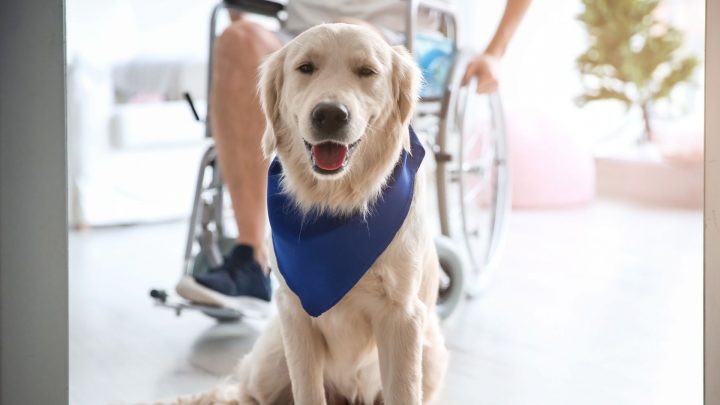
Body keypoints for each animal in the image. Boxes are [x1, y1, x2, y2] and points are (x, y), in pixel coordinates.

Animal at [165, 23, 444, 404]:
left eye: (367, 71)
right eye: (306, 68)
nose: (330, 114)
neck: (336, 204)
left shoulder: (402, 317)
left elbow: (403, 392)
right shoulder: (294, 314)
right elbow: (307, 391)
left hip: (431, 355)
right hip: (271, 360)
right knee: (241, 389)